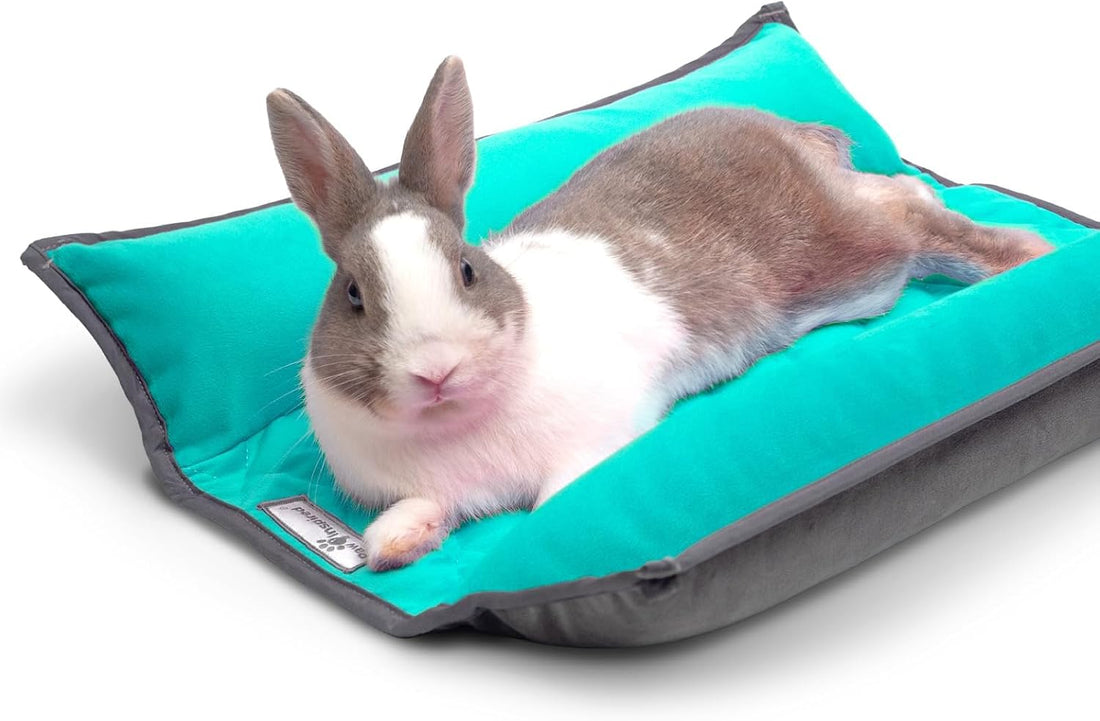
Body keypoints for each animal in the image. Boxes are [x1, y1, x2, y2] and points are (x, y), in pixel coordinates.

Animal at [267, 57, 1052, 571]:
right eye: (352, 294)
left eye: (466, 268)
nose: (436, 369)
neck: (454, 423)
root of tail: (787, 133)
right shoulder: (428, 489)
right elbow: (402, 520)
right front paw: (395, 546)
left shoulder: (595, 442)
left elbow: (553, 505)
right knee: (901, 193)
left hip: (859, 269)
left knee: (914, 217)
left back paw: (1028, 253)